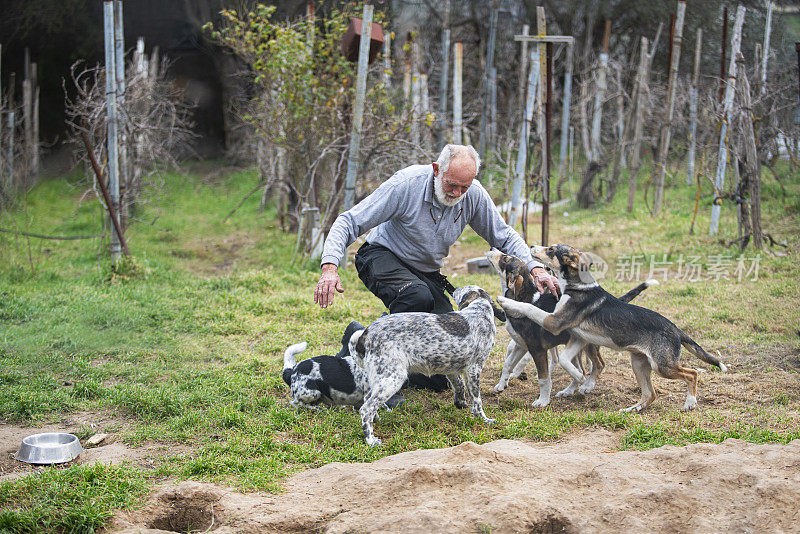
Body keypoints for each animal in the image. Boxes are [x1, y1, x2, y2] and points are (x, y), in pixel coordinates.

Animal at [346, 284, 504, 448]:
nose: (455, 289)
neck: (479, 310)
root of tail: (365, 334)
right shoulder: (474, 369)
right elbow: (477, 401)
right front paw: (484, 420)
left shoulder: (451, 369)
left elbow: (459, 385)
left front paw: (460, 403)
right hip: (393, 378)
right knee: (366, 409)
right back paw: (371, 440)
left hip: (381, 377)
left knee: (367, 399)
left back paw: (377, 420)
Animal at [496, 245, 728, 412]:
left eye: (551, 250)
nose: (532, 246)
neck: (578, 287)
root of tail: (676, 330)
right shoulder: (576, 336)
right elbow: (565, 361)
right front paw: (580, 381)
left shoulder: (553, 322)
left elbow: (529, 308)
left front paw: (507, 302)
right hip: (639, 364)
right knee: (650, 394)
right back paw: (632, 409)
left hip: (662, 366)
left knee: (692, 373)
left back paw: (690, 402)